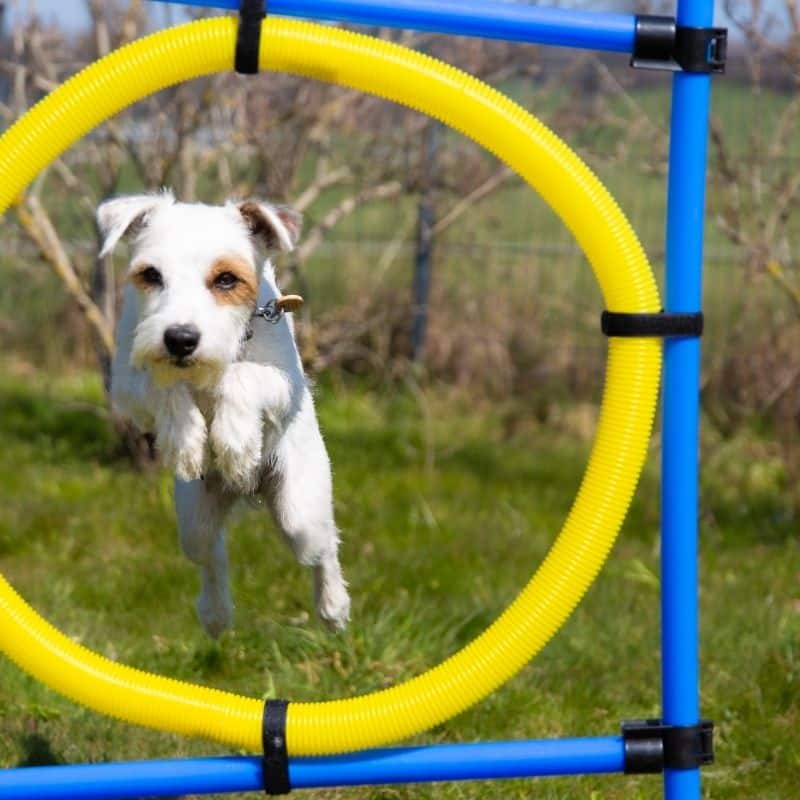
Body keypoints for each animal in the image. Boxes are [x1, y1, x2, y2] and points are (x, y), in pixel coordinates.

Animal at [100, 191, 350, 636]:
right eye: (151, 275)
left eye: (227, 280)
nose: (180, 338)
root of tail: (247, 492)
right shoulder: (126, 384)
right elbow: (164, 385)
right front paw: (187, 438)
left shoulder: (286, 382)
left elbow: (240, 375)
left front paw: (235, 442)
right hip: (193, 518)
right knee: (212, 556)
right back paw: (215, 615)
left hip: (301, 510)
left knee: (323, 550)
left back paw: (333, 607)